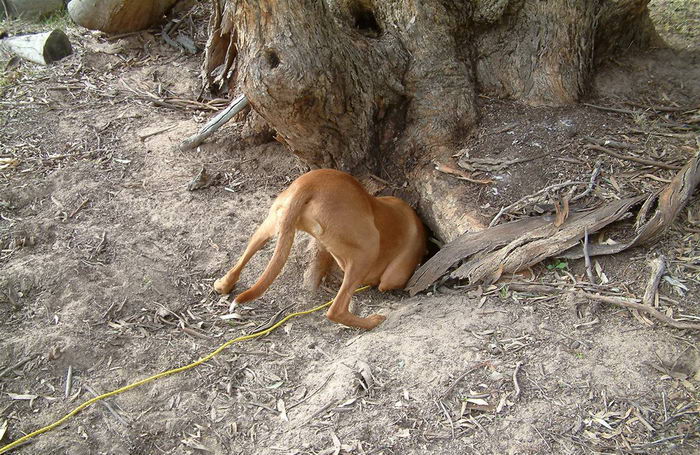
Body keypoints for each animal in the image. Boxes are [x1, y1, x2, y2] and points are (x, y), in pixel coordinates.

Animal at [215, 169, 426, 330]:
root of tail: (309, 185)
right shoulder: (393, 277)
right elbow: (385, 284)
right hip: (368, 248)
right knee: (336, 310)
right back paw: (372, 322)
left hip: (270, 224)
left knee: (242, 259)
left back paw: (223, 284)